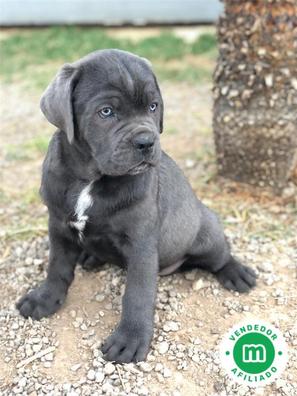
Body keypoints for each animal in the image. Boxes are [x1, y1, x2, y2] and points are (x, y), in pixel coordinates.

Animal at [17, 48, 256, 362]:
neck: (90, 179)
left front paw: (130, 339)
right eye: (106, 112)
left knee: (221, 257)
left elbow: (137, 293)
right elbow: (57, 267)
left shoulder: (141, 244)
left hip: (206, 238)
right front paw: (44, 299)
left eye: (153, 107)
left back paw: (237, 273)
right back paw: (89, 256)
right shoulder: (58, 225)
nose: (146, 141)